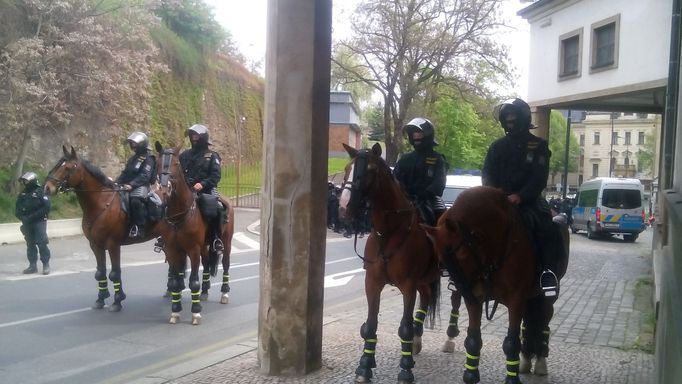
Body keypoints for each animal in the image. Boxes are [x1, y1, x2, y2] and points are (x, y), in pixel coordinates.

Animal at [44, 146, 166, 312]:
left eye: (69, 167)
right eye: (58, 164)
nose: (47, 188)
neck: (101, 203)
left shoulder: (113, 244)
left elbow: (115, 273)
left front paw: (118, 301)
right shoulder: (96, 245)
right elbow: (100, 272)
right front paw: (100, 299)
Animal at [338, 142, 438, 382]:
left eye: (369, 171)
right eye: (347, 168)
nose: (344, 208)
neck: (390, 232)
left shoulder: (408, 286)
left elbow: (405, 328)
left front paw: (405, 371)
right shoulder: (373, 283)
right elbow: (370, 324)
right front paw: (365, 366)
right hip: (424, 280)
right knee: (426, 297)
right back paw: (417, 343)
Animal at [420, 185, 568, 380]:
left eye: (462, 255)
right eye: (441, 261)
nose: (463, 290)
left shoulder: (516, 300)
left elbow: (511, 343)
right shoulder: (475, 298)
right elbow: (473, 339)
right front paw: (470, 376)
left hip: (546, 296)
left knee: (544, 320)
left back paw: (540, 360)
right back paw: (527, 358)